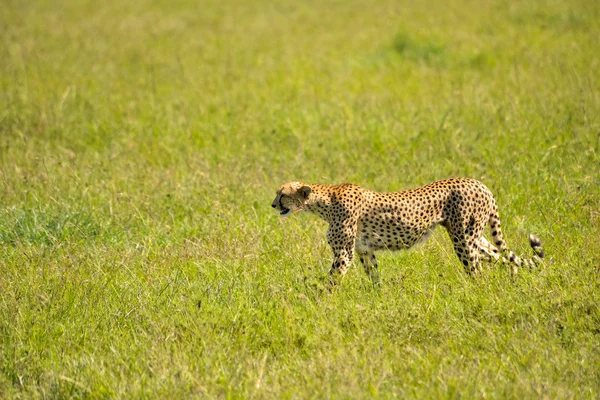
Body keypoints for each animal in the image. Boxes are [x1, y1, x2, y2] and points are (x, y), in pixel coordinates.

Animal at [272, 178, 544, 284]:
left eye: (282, 194)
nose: (273, 205)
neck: (324, 202)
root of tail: (479, 183)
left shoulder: (344, 253)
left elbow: (331, 279)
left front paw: (318, 300)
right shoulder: (364, 250)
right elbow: (374, 277)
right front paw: (378, 298)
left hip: (464, 238)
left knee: (476, 269)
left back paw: (476, 292)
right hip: (471, 236)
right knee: (498, 255)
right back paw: (512, 281)